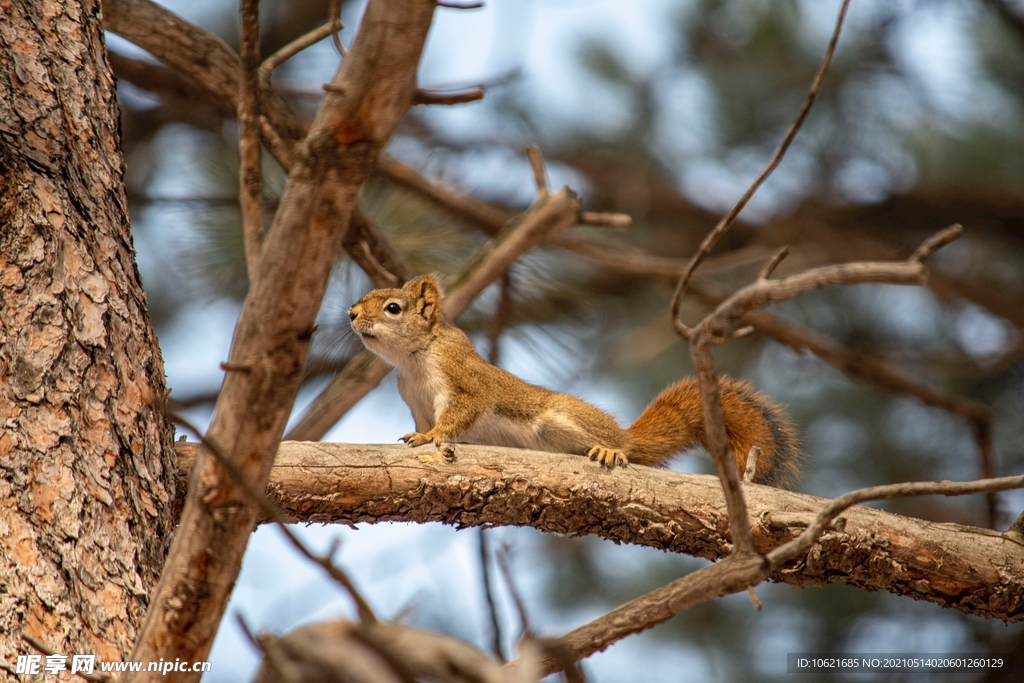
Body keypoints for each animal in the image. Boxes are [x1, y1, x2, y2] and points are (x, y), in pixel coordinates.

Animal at [350, 272, 798, 485]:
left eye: (393, 308)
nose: (352, 314)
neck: (413, 360)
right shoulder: (416, 400)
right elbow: (424, 422)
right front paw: (418, 435)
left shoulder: (464, 382)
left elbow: (456, 418)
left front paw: (430, 438)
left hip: (562, 418)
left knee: (622, 449)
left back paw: (611, 451)